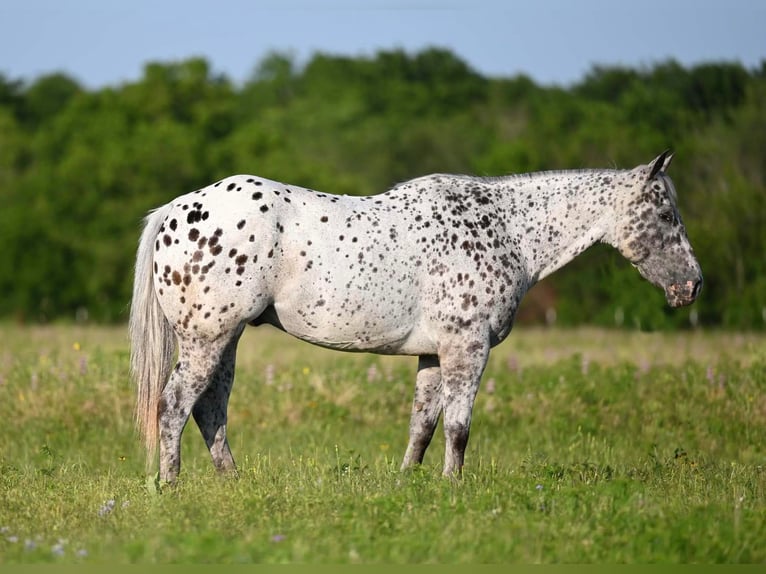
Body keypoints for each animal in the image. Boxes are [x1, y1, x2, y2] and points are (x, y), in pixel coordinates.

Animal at [129, 151, 704, 484]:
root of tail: (176, 210)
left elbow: (422, 425)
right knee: (176, 405)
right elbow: (458, 427)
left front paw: (409, 484)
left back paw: (232, 482)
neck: (507, 229)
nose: (692, 285)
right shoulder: (466, 348)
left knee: (210, 410)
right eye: (666, 213)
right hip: (208, 338)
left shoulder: (432, 353)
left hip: (224, 341)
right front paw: (454, 487)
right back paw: (171, 486)